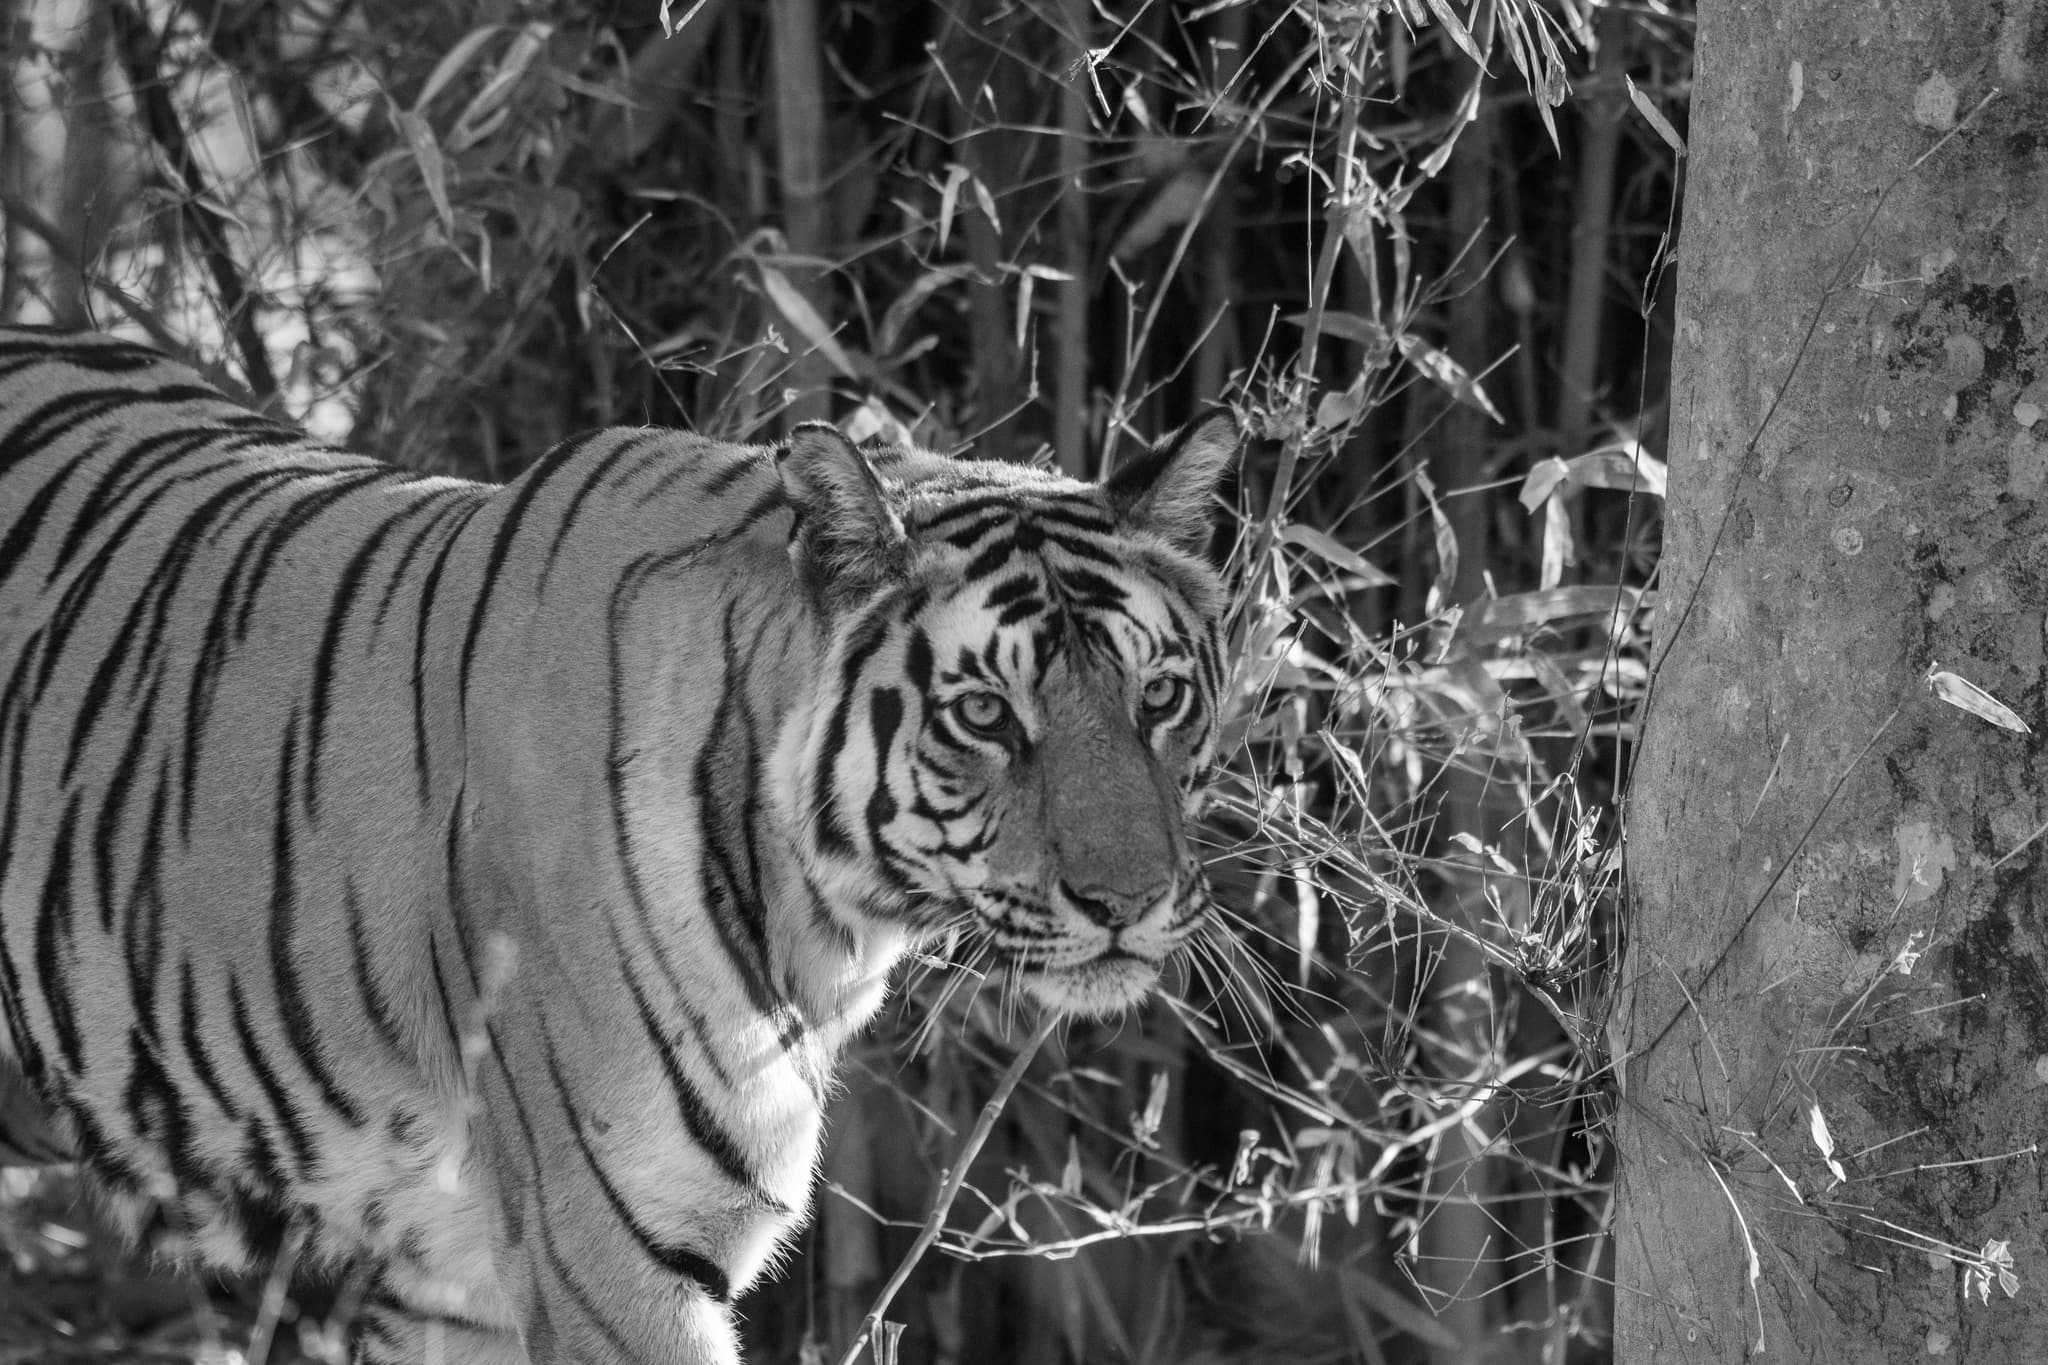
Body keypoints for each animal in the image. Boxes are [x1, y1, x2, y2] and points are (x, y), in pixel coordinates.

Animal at [0, 325, 1239, 1364]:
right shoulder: (606, 1254)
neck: (822, 927)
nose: (1126, 900)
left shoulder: (449, 1285)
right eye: (983, 714)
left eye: (1160, 698)